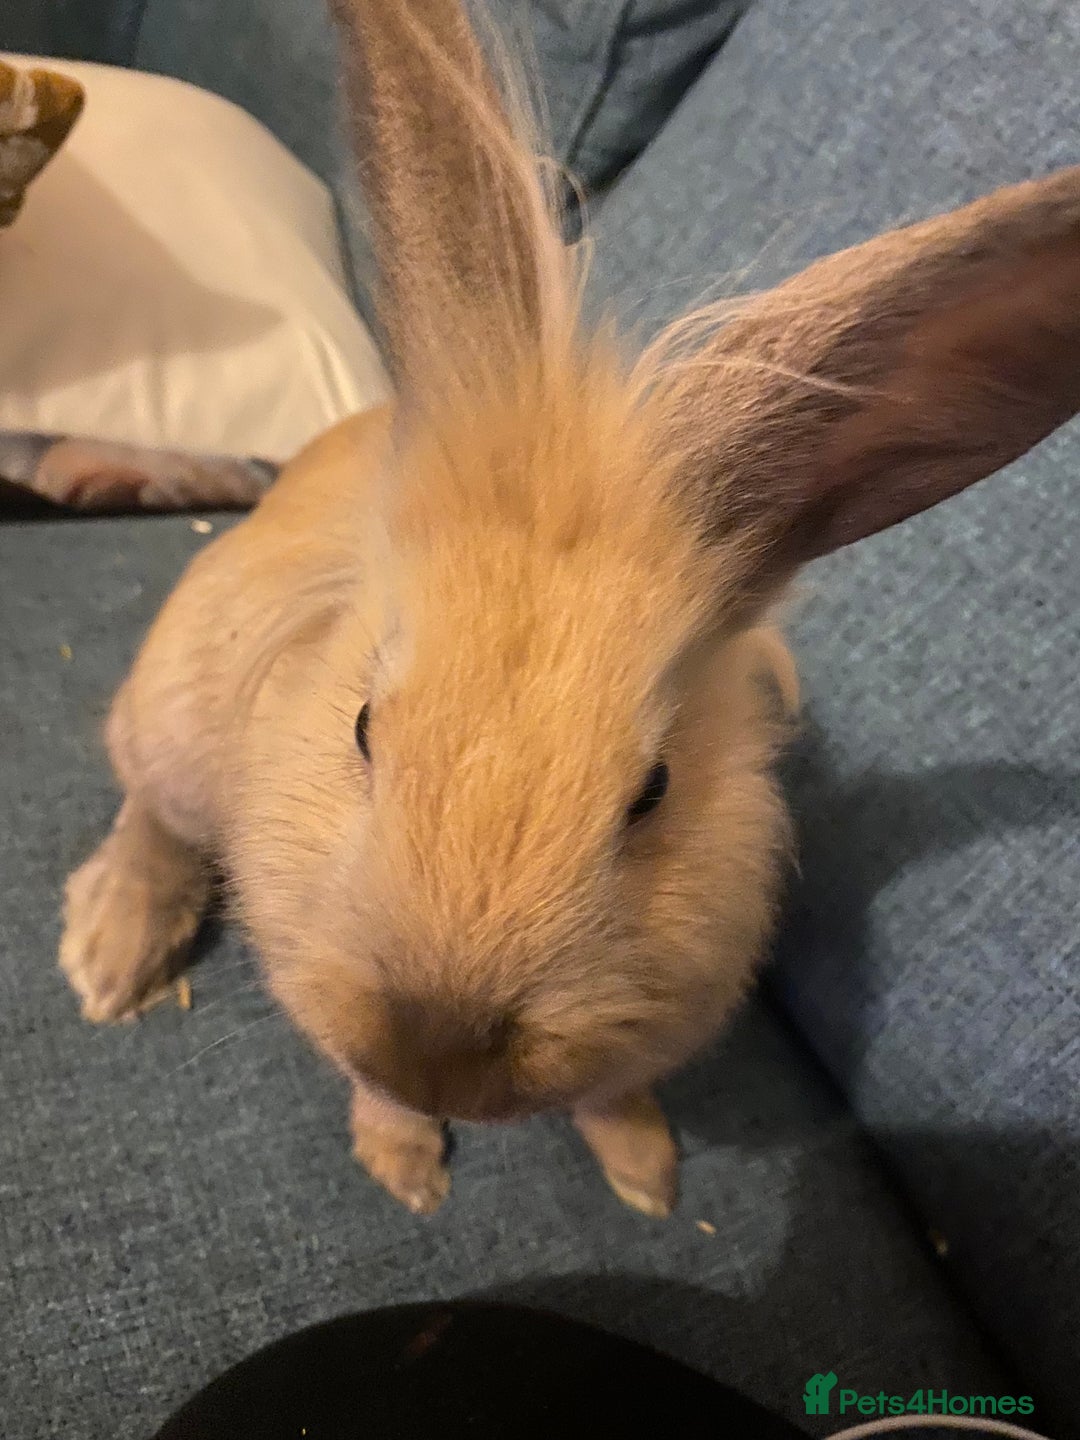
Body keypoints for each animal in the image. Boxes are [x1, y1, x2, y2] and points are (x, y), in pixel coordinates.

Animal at [58, 0, 1080, 1217]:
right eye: (363, 728)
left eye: (654, 791)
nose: (442, 1050)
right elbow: (370, 1086)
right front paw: (408, 1170)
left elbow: (616, 1095)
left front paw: (649, 1179)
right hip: (173, 720)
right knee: (150, 816)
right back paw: (109, 958)